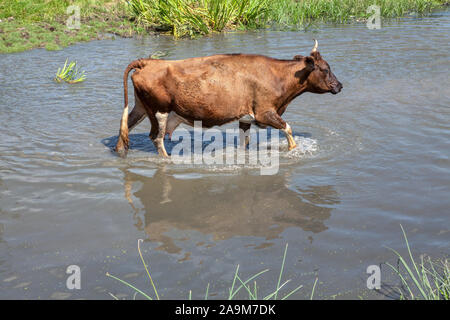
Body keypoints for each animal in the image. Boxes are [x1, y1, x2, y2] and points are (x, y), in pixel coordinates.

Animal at [115, 40, 342, 158]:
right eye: (325, 69)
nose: (339, 86)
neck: (279, 77)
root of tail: (148, 62)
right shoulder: (264, 112)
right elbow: (288, 129)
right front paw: (293, 150)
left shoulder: (246, 117)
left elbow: (244, 142)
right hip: (159, 111)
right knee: (156, 138)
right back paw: (167, 159)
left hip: (141, 108)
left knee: (125, 128)